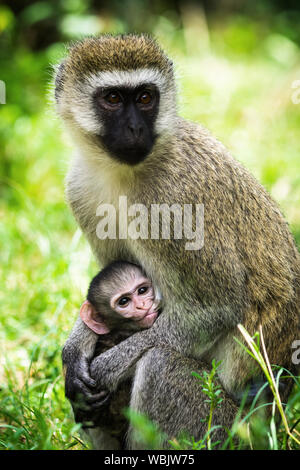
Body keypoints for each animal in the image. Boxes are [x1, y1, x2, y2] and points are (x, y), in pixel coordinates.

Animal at [54, 34, 300, 448]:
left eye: (145, 97)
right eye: (113, 99)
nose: (135, 129)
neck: (125, 172)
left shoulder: (173, 202)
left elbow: (216, 307)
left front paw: (105, 367)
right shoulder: (80, 188)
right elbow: (102, 290)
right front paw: (76, 349)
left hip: (223, 428)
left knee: (159, 363)